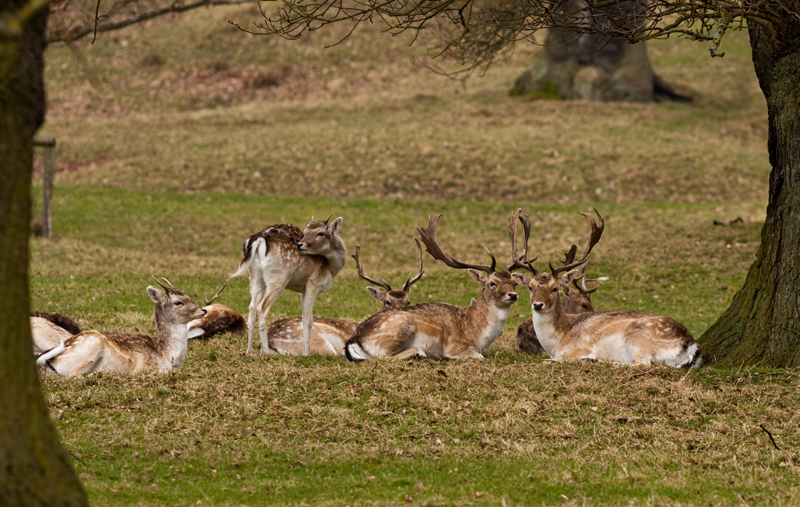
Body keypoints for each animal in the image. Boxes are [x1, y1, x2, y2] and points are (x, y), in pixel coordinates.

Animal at [37, 280, 206, 380]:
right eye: (178, 302)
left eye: (188, 297)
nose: (203, 309)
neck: (167, 354)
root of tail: (49, 361)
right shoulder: (145, 368)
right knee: (73, 376)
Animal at [228, 215, 346, 358]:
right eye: (306, 232)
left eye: (320, 233)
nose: (300, 244)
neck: (331, 268)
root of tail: (258, 241)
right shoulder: (313, 283)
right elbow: (308, 320)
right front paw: (306, 353)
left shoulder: (302, 289)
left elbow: (303, 317)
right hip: (279, 277)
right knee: (261, 308)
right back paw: (266, 351)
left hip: (255, 276)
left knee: (251, 308)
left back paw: (249, 351)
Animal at [342, 209, 524, 362]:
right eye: (493, 283)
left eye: (514, 283)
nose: (513, 295)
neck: (478, 335)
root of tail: (353, 340)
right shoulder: (456, 346)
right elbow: (479, 356)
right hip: (401, 324)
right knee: (384, 356)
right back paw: (419, 352)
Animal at [512, 210, 700, 370]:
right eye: (530, 287)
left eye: (554, 288)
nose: (538, 305)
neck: (558, 341)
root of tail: (690, 344)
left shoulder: (577, 347)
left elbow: (550, 360)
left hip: (638, 337)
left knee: (642, 363)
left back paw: (597, 360)